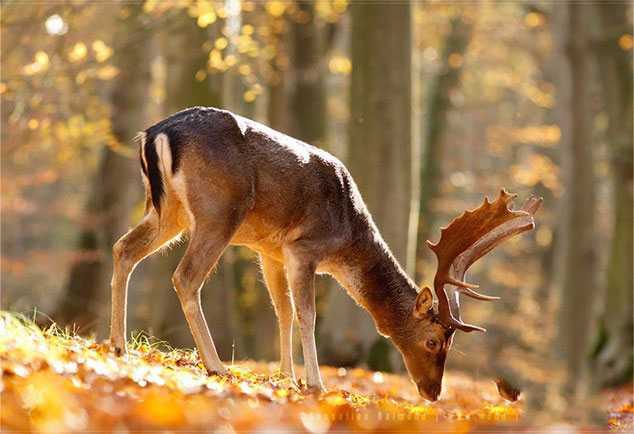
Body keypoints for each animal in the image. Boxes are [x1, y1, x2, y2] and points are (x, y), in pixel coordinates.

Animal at [110, 107, 540, 402]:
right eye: (435, 340)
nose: (433, 392)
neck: (348, 236)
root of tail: (155, 133)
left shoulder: (270, 250)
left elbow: (282, 311)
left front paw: (286, 377)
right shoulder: (304, 248)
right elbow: (307, 314)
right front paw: (315, 383)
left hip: (169, 211)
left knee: (123, 249)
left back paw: (119, 345)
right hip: (218, 211)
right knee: (185, 276)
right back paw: (215, 365)